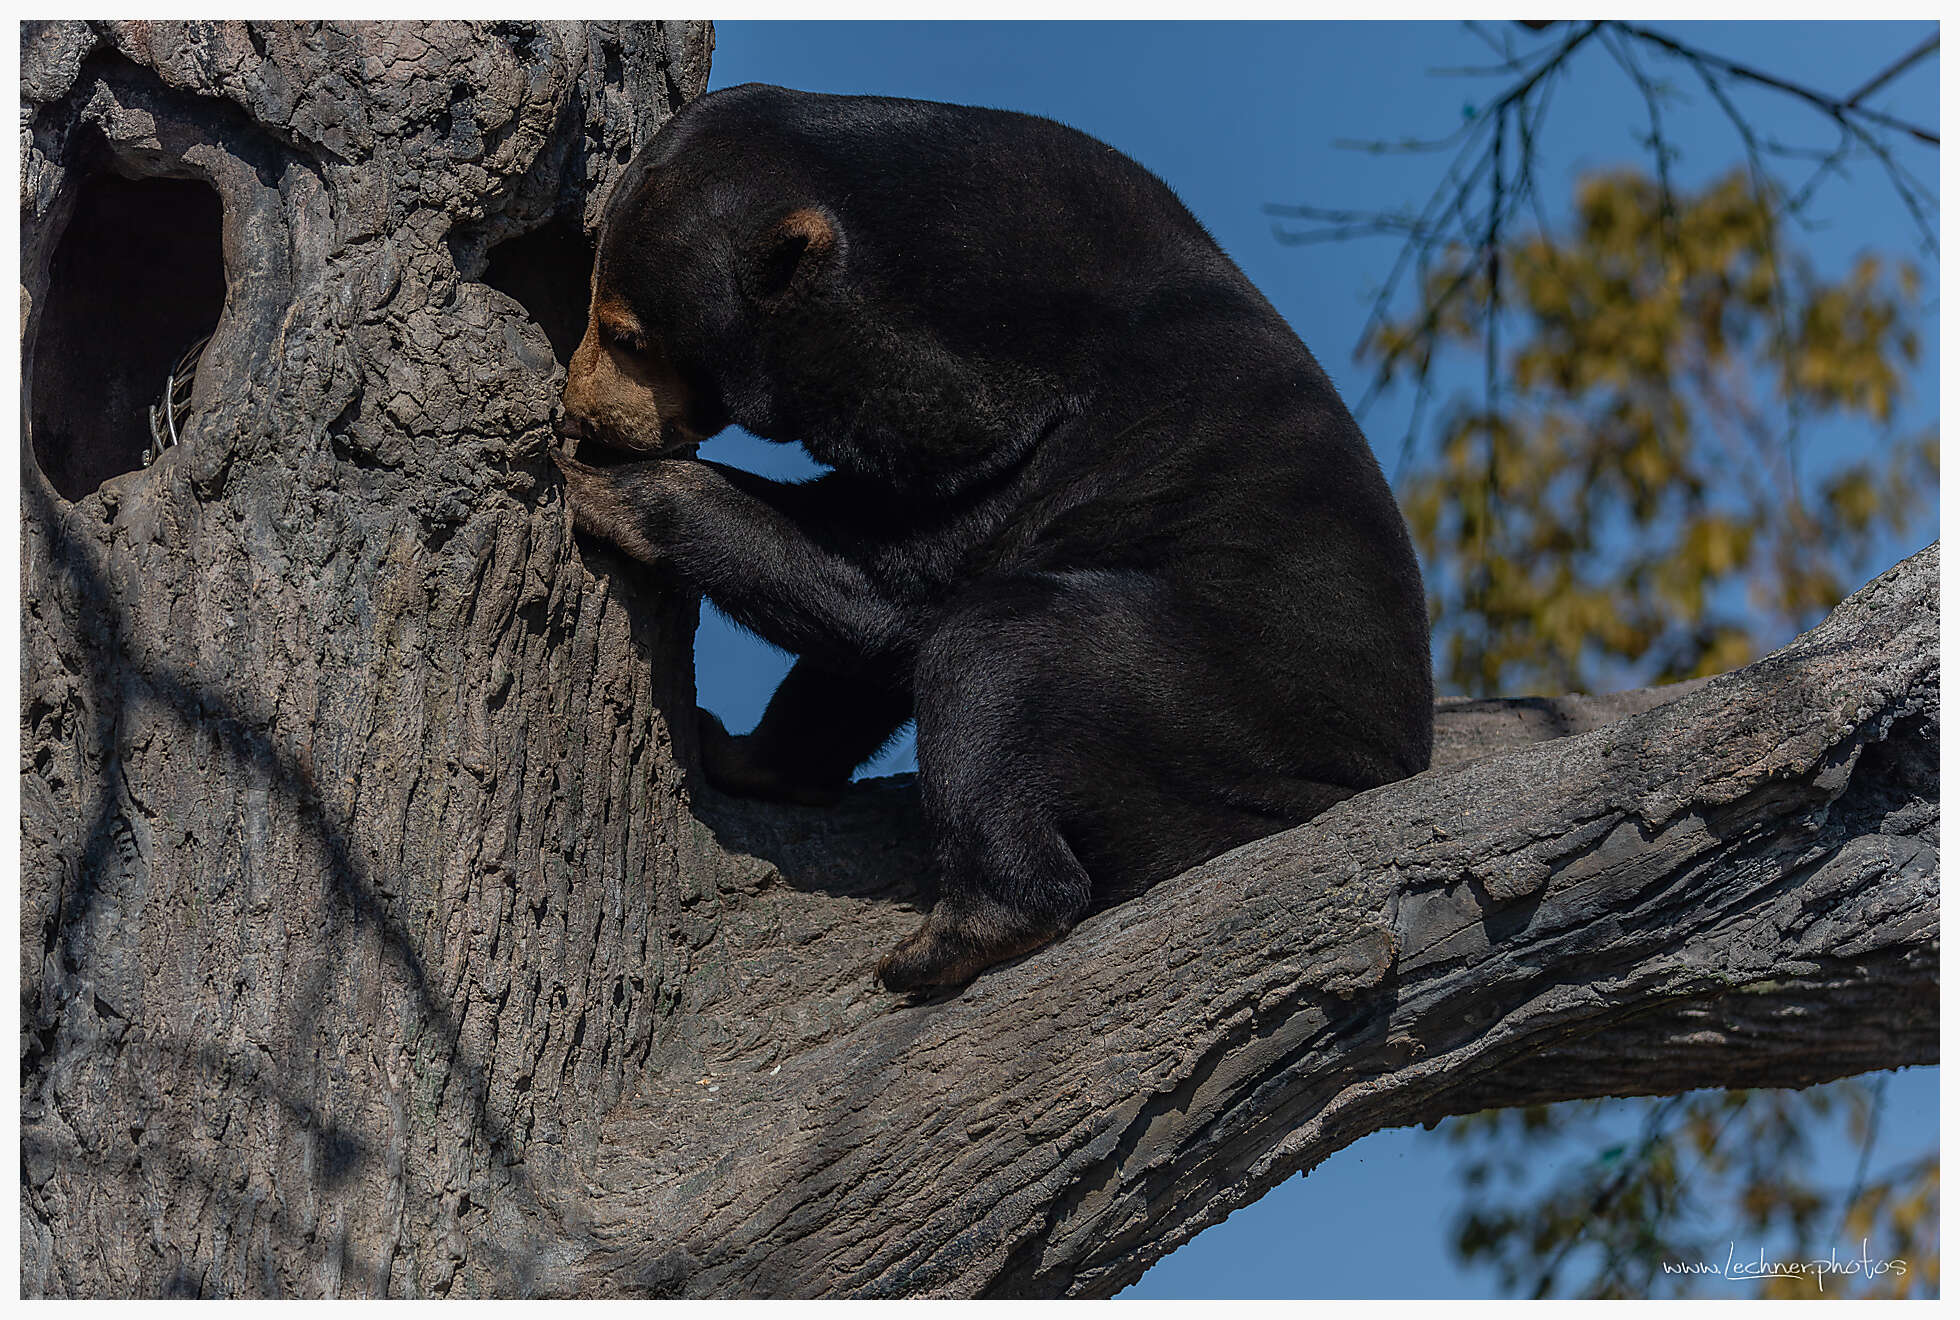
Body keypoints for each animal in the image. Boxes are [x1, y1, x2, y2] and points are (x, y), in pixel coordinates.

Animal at [552, 83, 1434, 992]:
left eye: (628, 334)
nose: (575, 412)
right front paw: (738, 752)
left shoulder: (1037, 437)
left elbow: (886, 591)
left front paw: (605, 487)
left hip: (1210, 709)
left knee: (1000, 650)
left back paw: (953, 937)